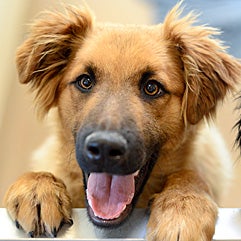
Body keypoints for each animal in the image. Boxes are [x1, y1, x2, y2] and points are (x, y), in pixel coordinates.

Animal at [3, 2, 241, 241]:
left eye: (152, 87)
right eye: (85, 81)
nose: (105, 149)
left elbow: (192, 175)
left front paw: (182, 206)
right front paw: (37, 188)